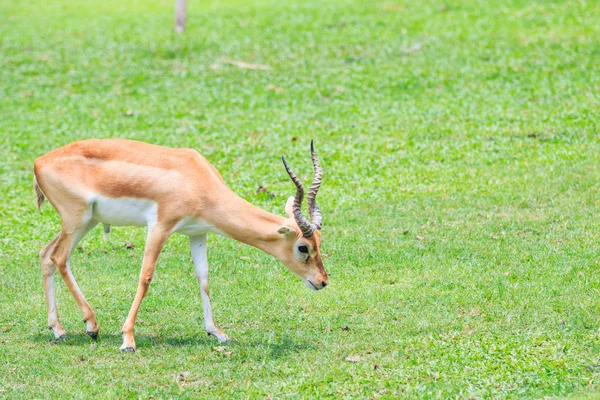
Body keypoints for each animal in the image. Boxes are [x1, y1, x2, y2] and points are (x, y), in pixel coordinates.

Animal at [32, 139, 328, 352]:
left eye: (319, 242)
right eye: (303, 247)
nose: (323, 281)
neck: (197, 181)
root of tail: (38, 162)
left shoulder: (197, 232)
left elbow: (204, 279)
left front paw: (217, 333)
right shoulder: (160, 227)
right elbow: (145, 277)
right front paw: (128, 341)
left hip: (87, 222)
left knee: (46, 254)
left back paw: (58, 329)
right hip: (77, 219)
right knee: (59, 257)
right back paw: (91, 327)